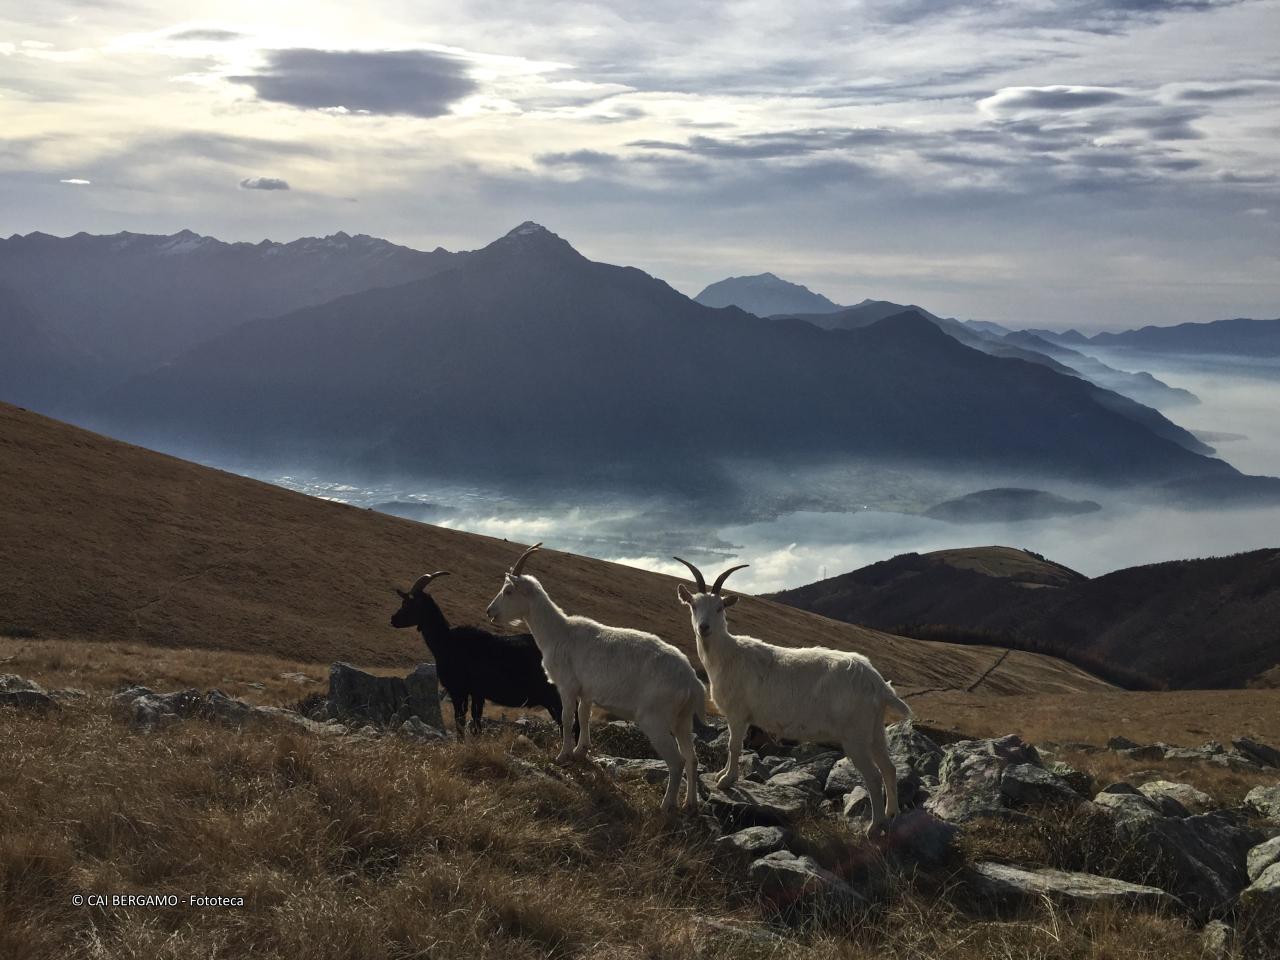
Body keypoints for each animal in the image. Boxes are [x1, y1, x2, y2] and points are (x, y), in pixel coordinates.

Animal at [391, 570, 567, 738]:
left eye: (409, 603)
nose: (393, 619)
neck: (447, 641)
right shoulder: (477, 693)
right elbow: (475, 722)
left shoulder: (458, 689)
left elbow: (460, 720)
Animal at [485, 543, 704, 814]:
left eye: (508, 591)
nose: (490, 612)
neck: (559, 632)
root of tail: (692, 682)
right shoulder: (586, 692)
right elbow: (584, 717)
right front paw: (581, 751)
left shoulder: (567, 687)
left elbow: (567, 718)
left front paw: (562, 755)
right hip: (683, 719)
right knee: (692, 758)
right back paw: (690, 804)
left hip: (655, 719)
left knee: (677, 761)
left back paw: (666, 806)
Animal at [673, 558, 911, 836]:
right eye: (694, 605)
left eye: (720, 607)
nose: (704, 627)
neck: (728, 655)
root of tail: (878, 683)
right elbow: (733, 746)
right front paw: (723, 774)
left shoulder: (738, 713)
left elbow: (733, 745)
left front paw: (725, 781)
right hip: (875, 730)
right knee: (889, 768)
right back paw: (892, 814)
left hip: (855, 735)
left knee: (873, 776)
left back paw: (874, 827)